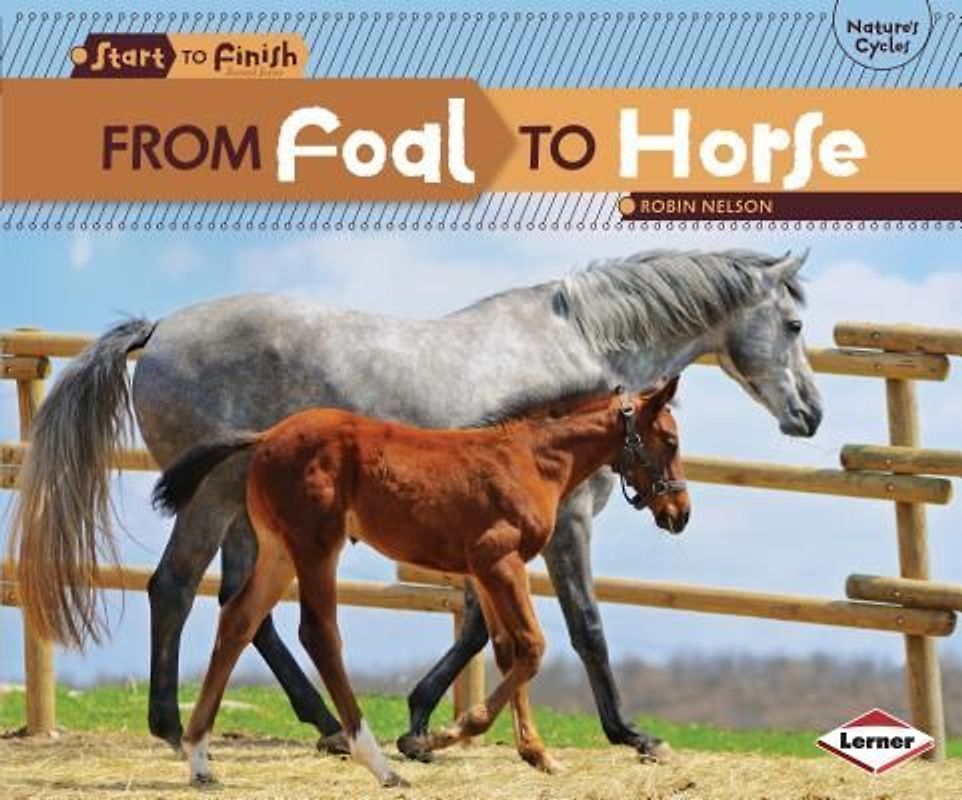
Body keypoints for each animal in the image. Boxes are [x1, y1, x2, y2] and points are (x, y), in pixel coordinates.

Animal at [151, 380, 689, 787]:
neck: (530, 459)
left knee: (238, 621)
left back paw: (199, 759)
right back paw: (379, 764)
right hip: (316, 546)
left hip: (279, 550)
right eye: (670, 440)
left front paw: (536, 753)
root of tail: (265, 436)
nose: (680, 513)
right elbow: (532, 646)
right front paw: (444, 735)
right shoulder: (500, 560)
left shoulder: (484, 570)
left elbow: (507, 650)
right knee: (318, 633)